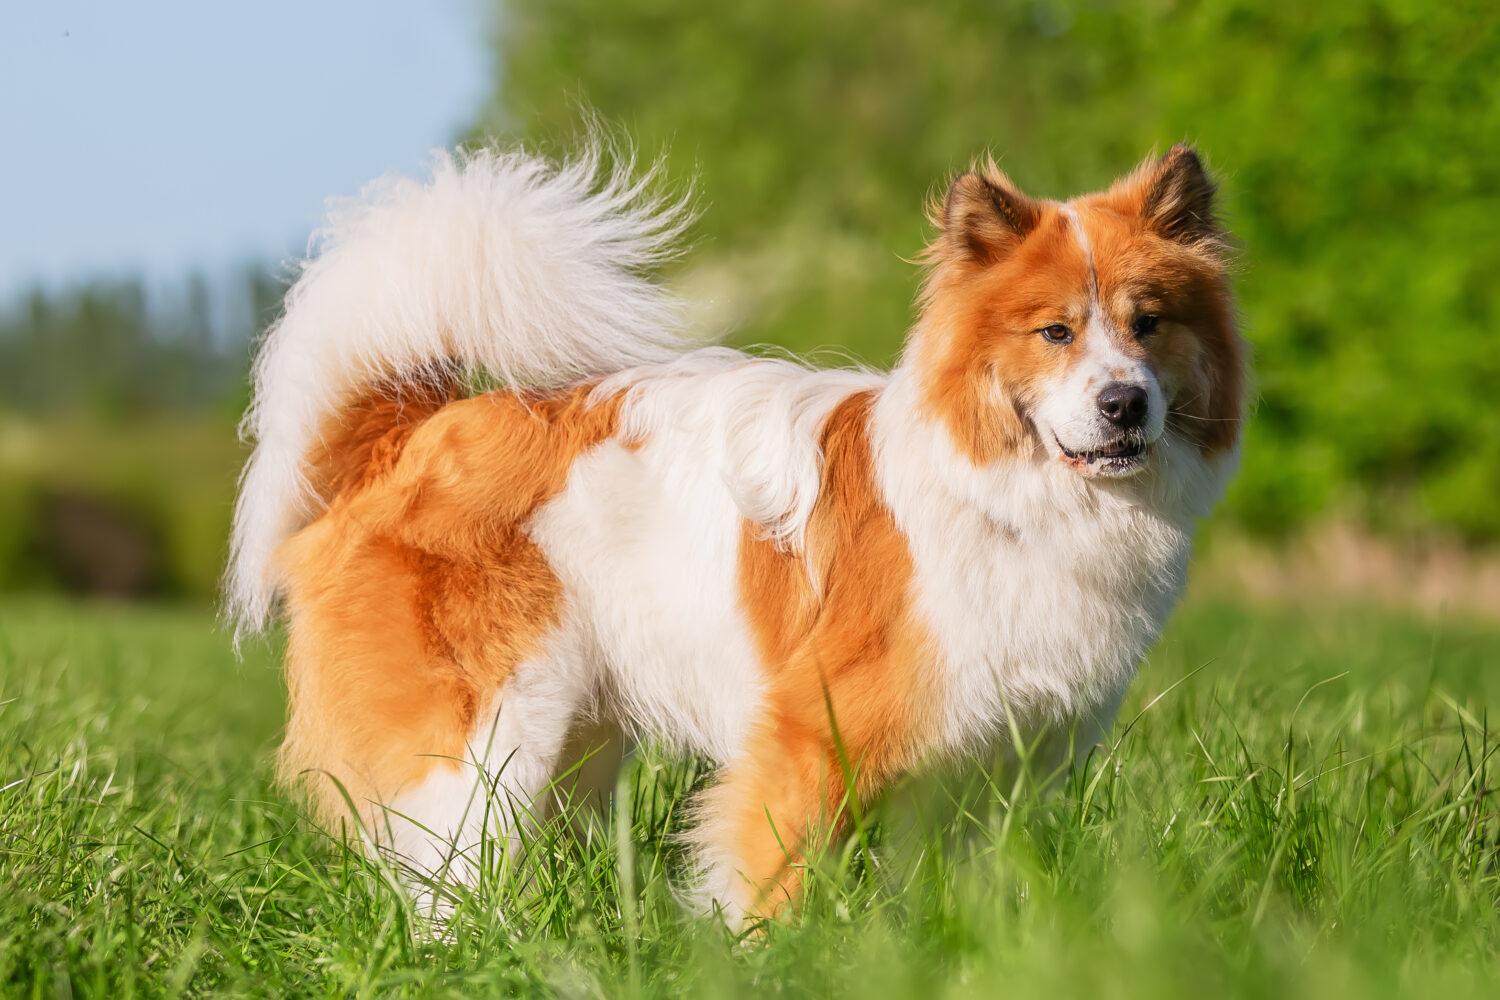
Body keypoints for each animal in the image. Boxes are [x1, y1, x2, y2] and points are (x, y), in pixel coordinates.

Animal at [228, 140, 1248, 923]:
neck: (1004, 499)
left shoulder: (978, 771)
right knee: (442, 875)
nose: (1125, 404)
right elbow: (770, 880)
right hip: (492, 737)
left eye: (1149, 324)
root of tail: (409, 435)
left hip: (575, 744)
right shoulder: (811, 738)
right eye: (1055, 333)